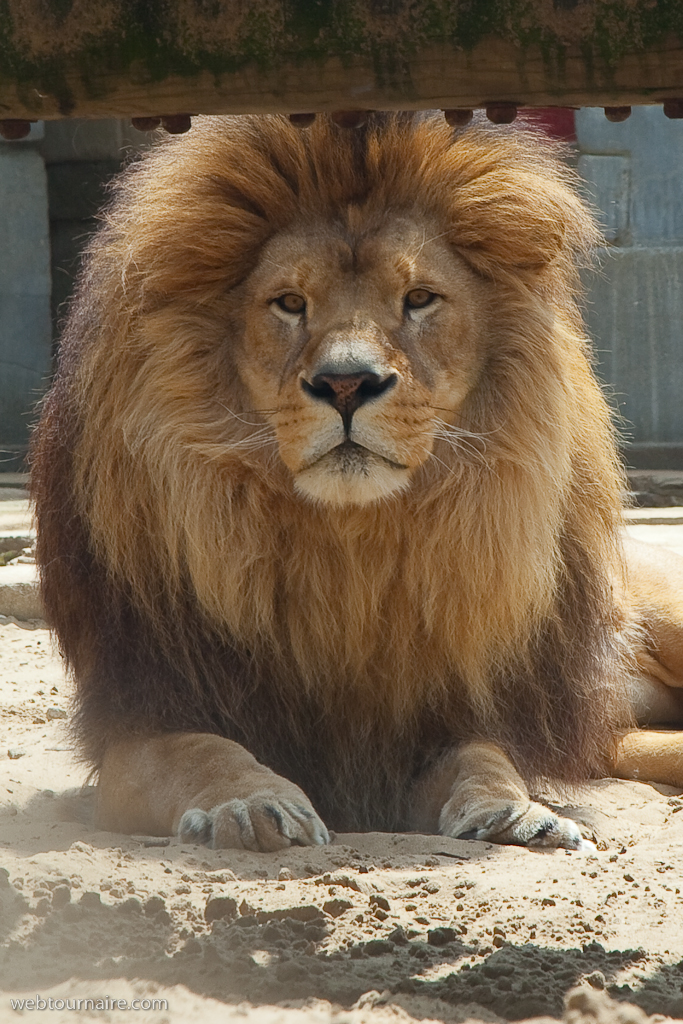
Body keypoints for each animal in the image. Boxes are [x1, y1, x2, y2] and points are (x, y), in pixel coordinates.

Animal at [31, 112, 683, 852]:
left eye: (419, 299)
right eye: (289, 303)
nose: (346, 384)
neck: (349, 550)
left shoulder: (442, 719)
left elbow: (483, 757)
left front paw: (513, 811)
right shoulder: (147, 712)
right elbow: (202, 751)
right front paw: (251, 802)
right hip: (623, 738)